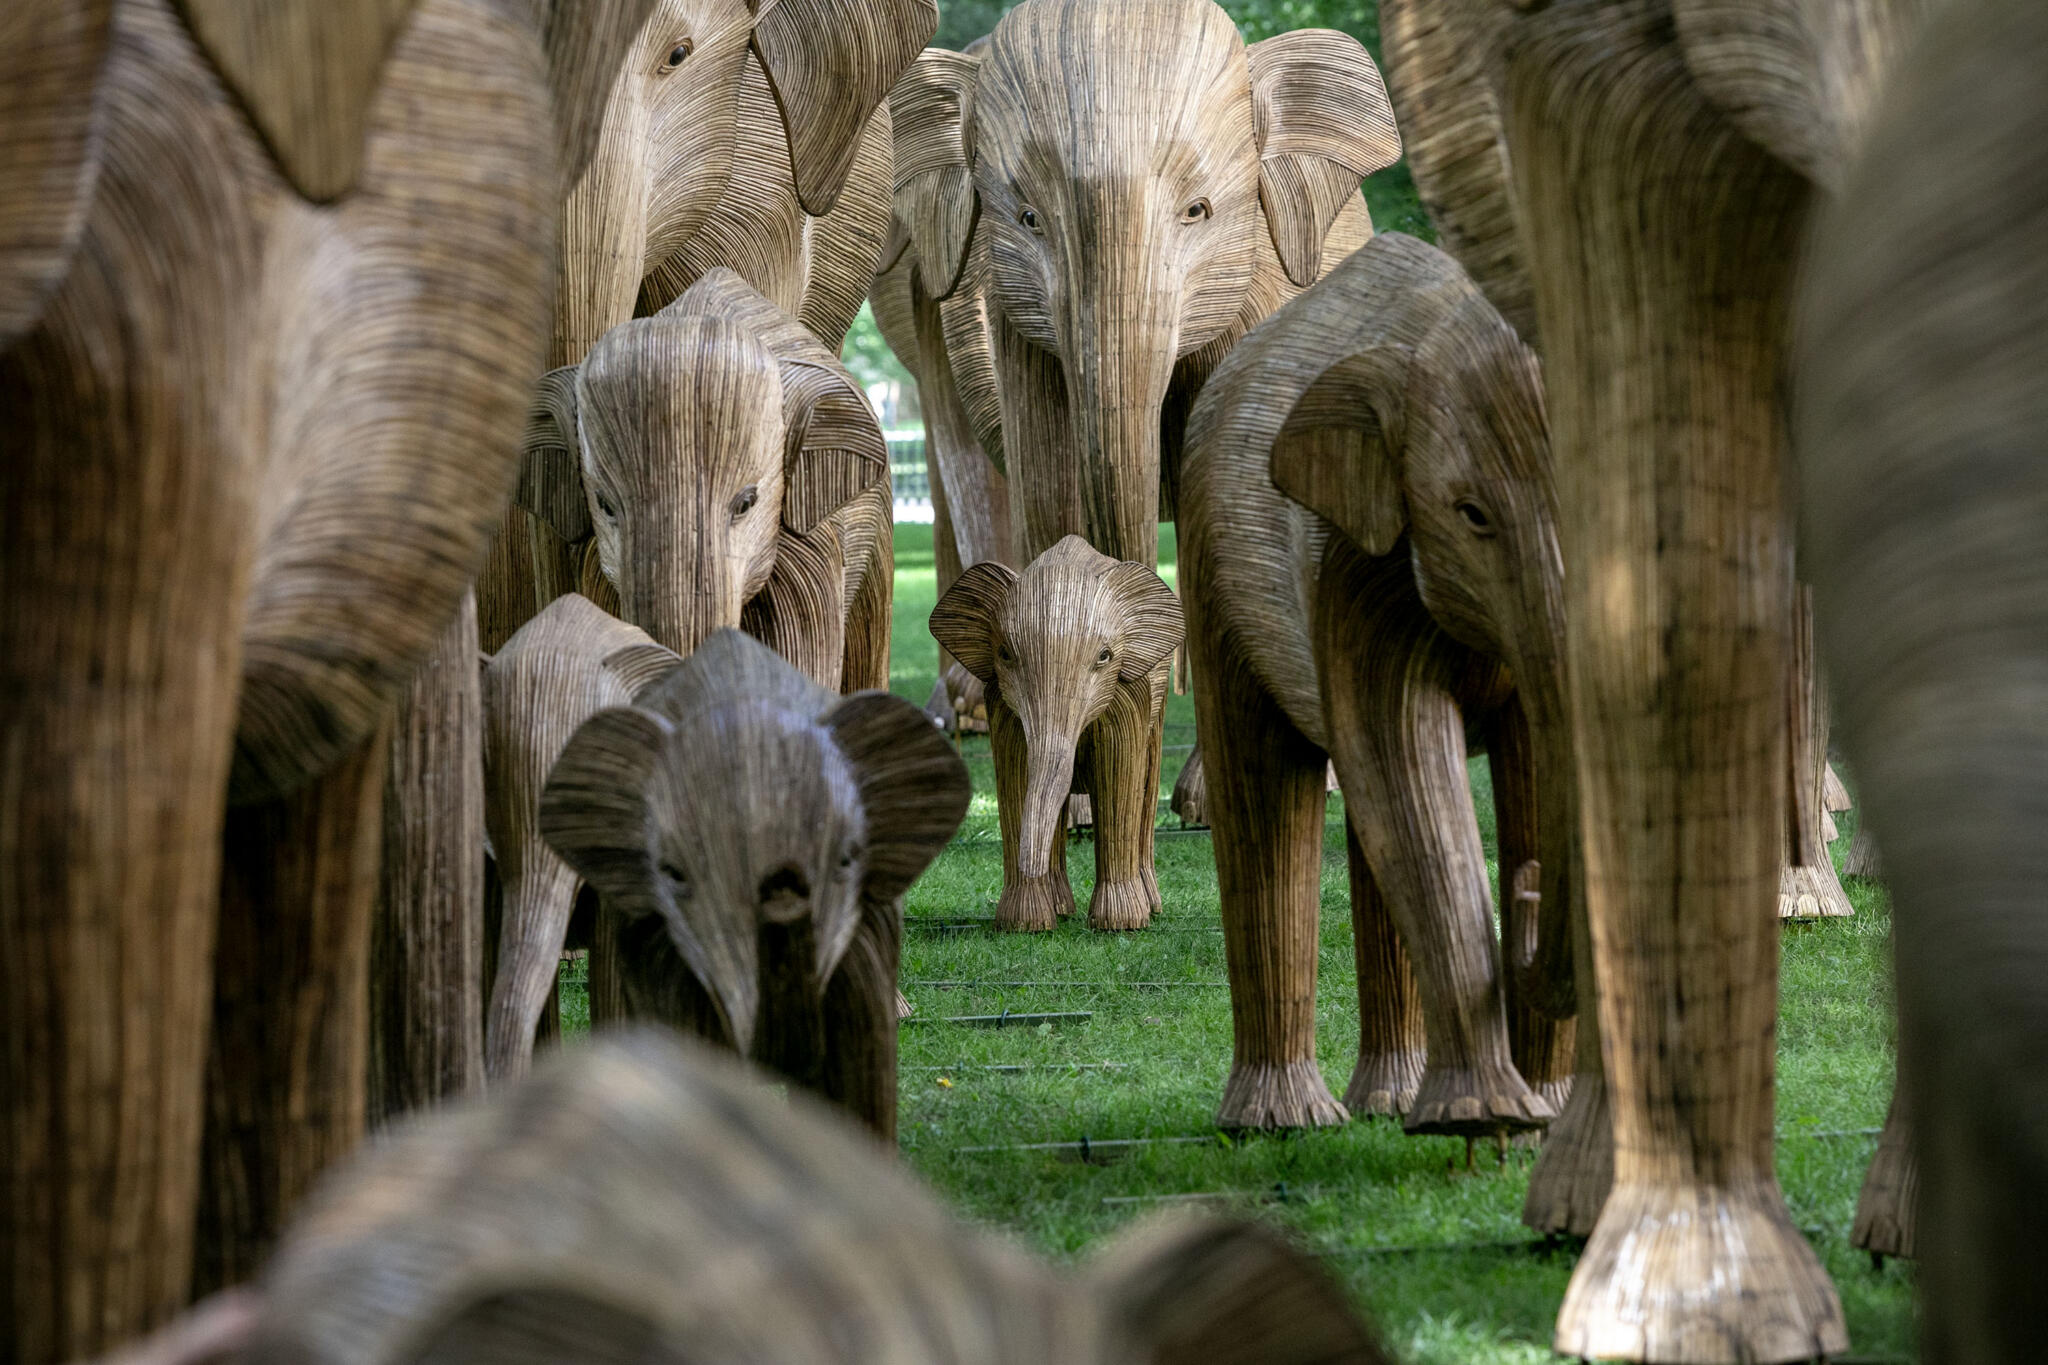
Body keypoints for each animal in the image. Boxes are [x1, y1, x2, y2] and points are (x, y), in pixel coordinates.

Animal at [929, 537, 1184, 931]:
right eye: (1005, 654)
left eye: (1105, 657)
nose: (1029, 863)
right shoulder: (1001, 701)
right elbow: (1016, 773)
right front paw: (1025, 925)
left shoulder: (1128, 695)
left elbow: (1119, 773)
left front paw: (1120, 925)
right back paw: (1062, 908)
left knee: (1146, 787)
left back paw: (1150, 908)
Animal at [1180, 232, 1567, 1138]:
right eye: (1471, 513)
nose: (1530, 890)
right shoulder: (1358, 569)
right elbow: (1403, 763)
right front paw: (1484, 1119)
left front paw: (1550, 1113)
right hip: (1214, 559)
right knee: (1267, 786)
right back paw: (1283, 1121)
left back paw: (1385, 1101)